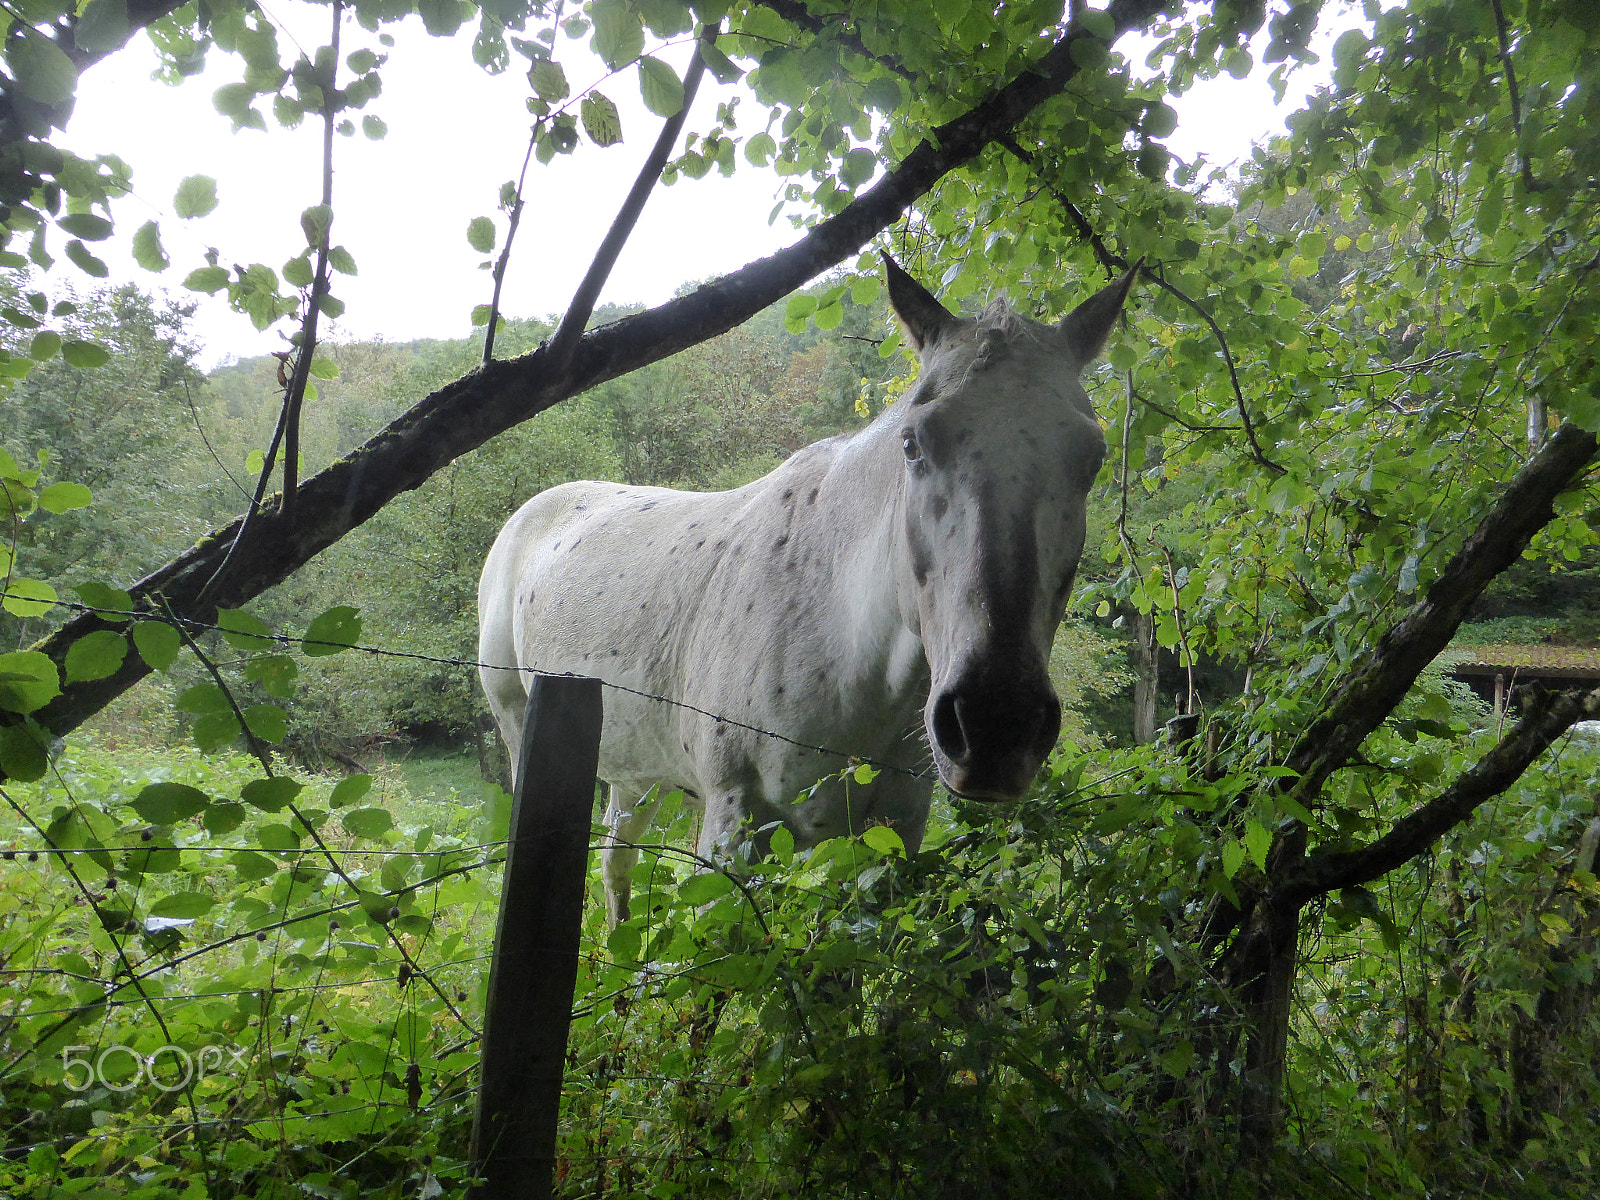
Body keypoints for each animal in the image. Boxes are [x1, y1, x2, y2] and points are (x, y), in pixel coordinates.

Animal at [473, 259, 1139, 928]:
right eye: (912, 443)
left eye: (1092, 457)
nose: (997, 723)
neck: (838, 635)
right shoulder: (733, 824)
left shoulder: (888, 836)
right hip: (520, 730)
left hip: (637, 774)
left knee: (618, 862)